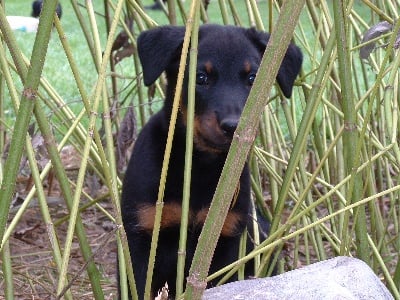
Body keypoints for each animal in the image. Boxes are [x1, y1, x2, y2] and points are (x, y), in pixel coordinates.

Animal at [120, 23, 302, 298]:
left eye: (253, 79)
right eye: (201, 78)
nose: (232, 126)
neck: (199, 165)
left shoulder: (227, 240)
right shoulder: (141, 239)